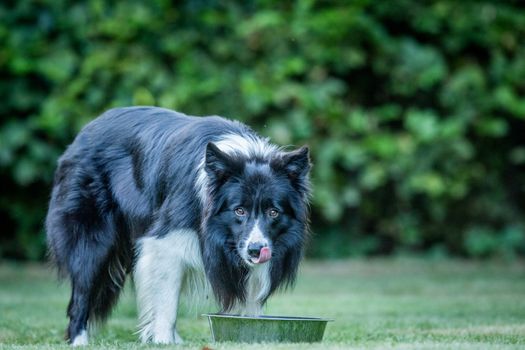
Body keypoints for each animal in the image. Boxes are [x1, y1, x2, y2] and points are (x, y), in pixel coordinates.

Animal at [46, 106, 312, 344]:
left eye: (273, 212)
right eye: (239, 210)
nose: (256, 251)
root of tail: (83, 133)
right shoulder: (165, 241)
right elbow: (166, 300)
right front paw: (163, 340)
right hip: (91, 237)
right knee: (82, 290)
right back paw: (79, 340)